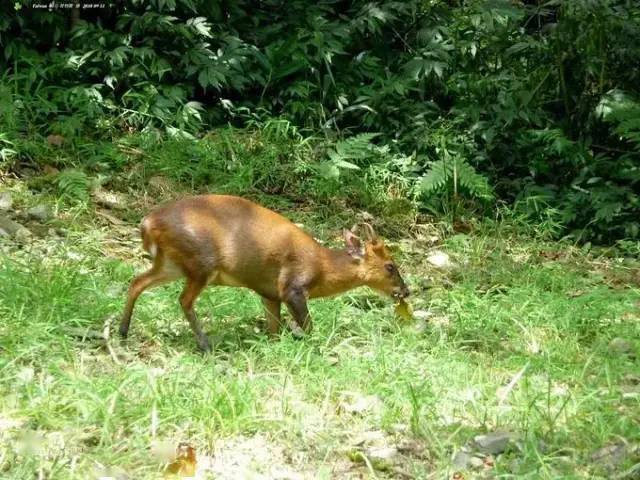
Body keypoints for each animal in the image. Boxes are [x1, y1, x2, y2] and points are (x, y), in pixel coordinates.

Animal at [120, 193, 410, 350]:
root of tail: (148, 223)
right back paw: (205, 344)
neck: (323, 267)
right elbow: (308, 326)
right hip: (200, 262)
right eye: (390, 266)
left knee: (137, 282)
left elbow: (274, 329)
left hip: (171, 264)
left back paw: (123, 331)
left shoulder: (270, 294)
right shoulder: (292, 286)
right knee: (183, 299)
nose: (406, 291)